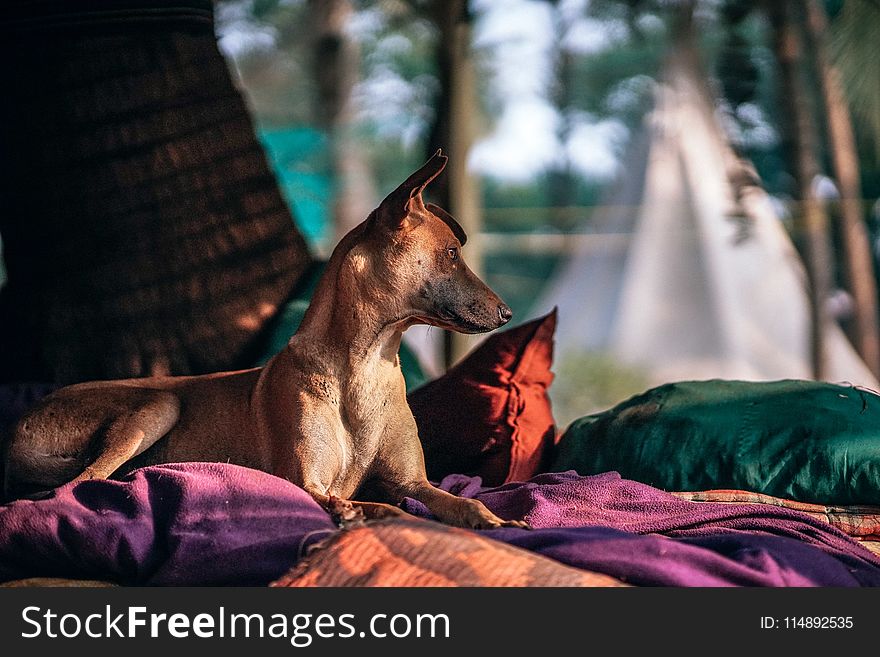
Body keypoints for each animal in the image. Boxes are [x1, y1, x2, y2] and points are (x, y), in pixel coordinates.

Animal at [3, 152, 524, 528]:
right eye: (451, 254)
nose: (508, 313)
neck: (366, 365)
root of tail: (16, 430)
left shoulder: (414, 482)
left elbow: (461, 503)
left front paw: (501, 521)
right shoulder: (305, 482)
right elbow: (378, 507)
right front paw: (358, 512)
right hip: (158, 404)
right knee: (79, 484)